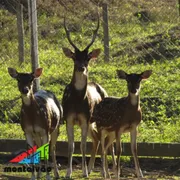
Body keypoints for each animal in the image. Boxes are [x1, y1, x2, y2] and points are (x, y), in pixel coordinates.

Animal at [61, 15, 115, 179]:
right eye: (74, 57)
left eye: (88, 58)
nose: (81, 67)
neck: (77, 101)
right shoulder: (69, 118)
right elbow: (71, 146)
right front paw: (68, 172)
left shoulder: (85, 118)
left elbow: (83, 145)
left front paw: (84, 172)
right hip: (93, 123)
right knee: (97, 140)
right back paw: (92, 169)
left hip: (98, 120)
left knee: (103, 143)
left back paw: (104, 171)